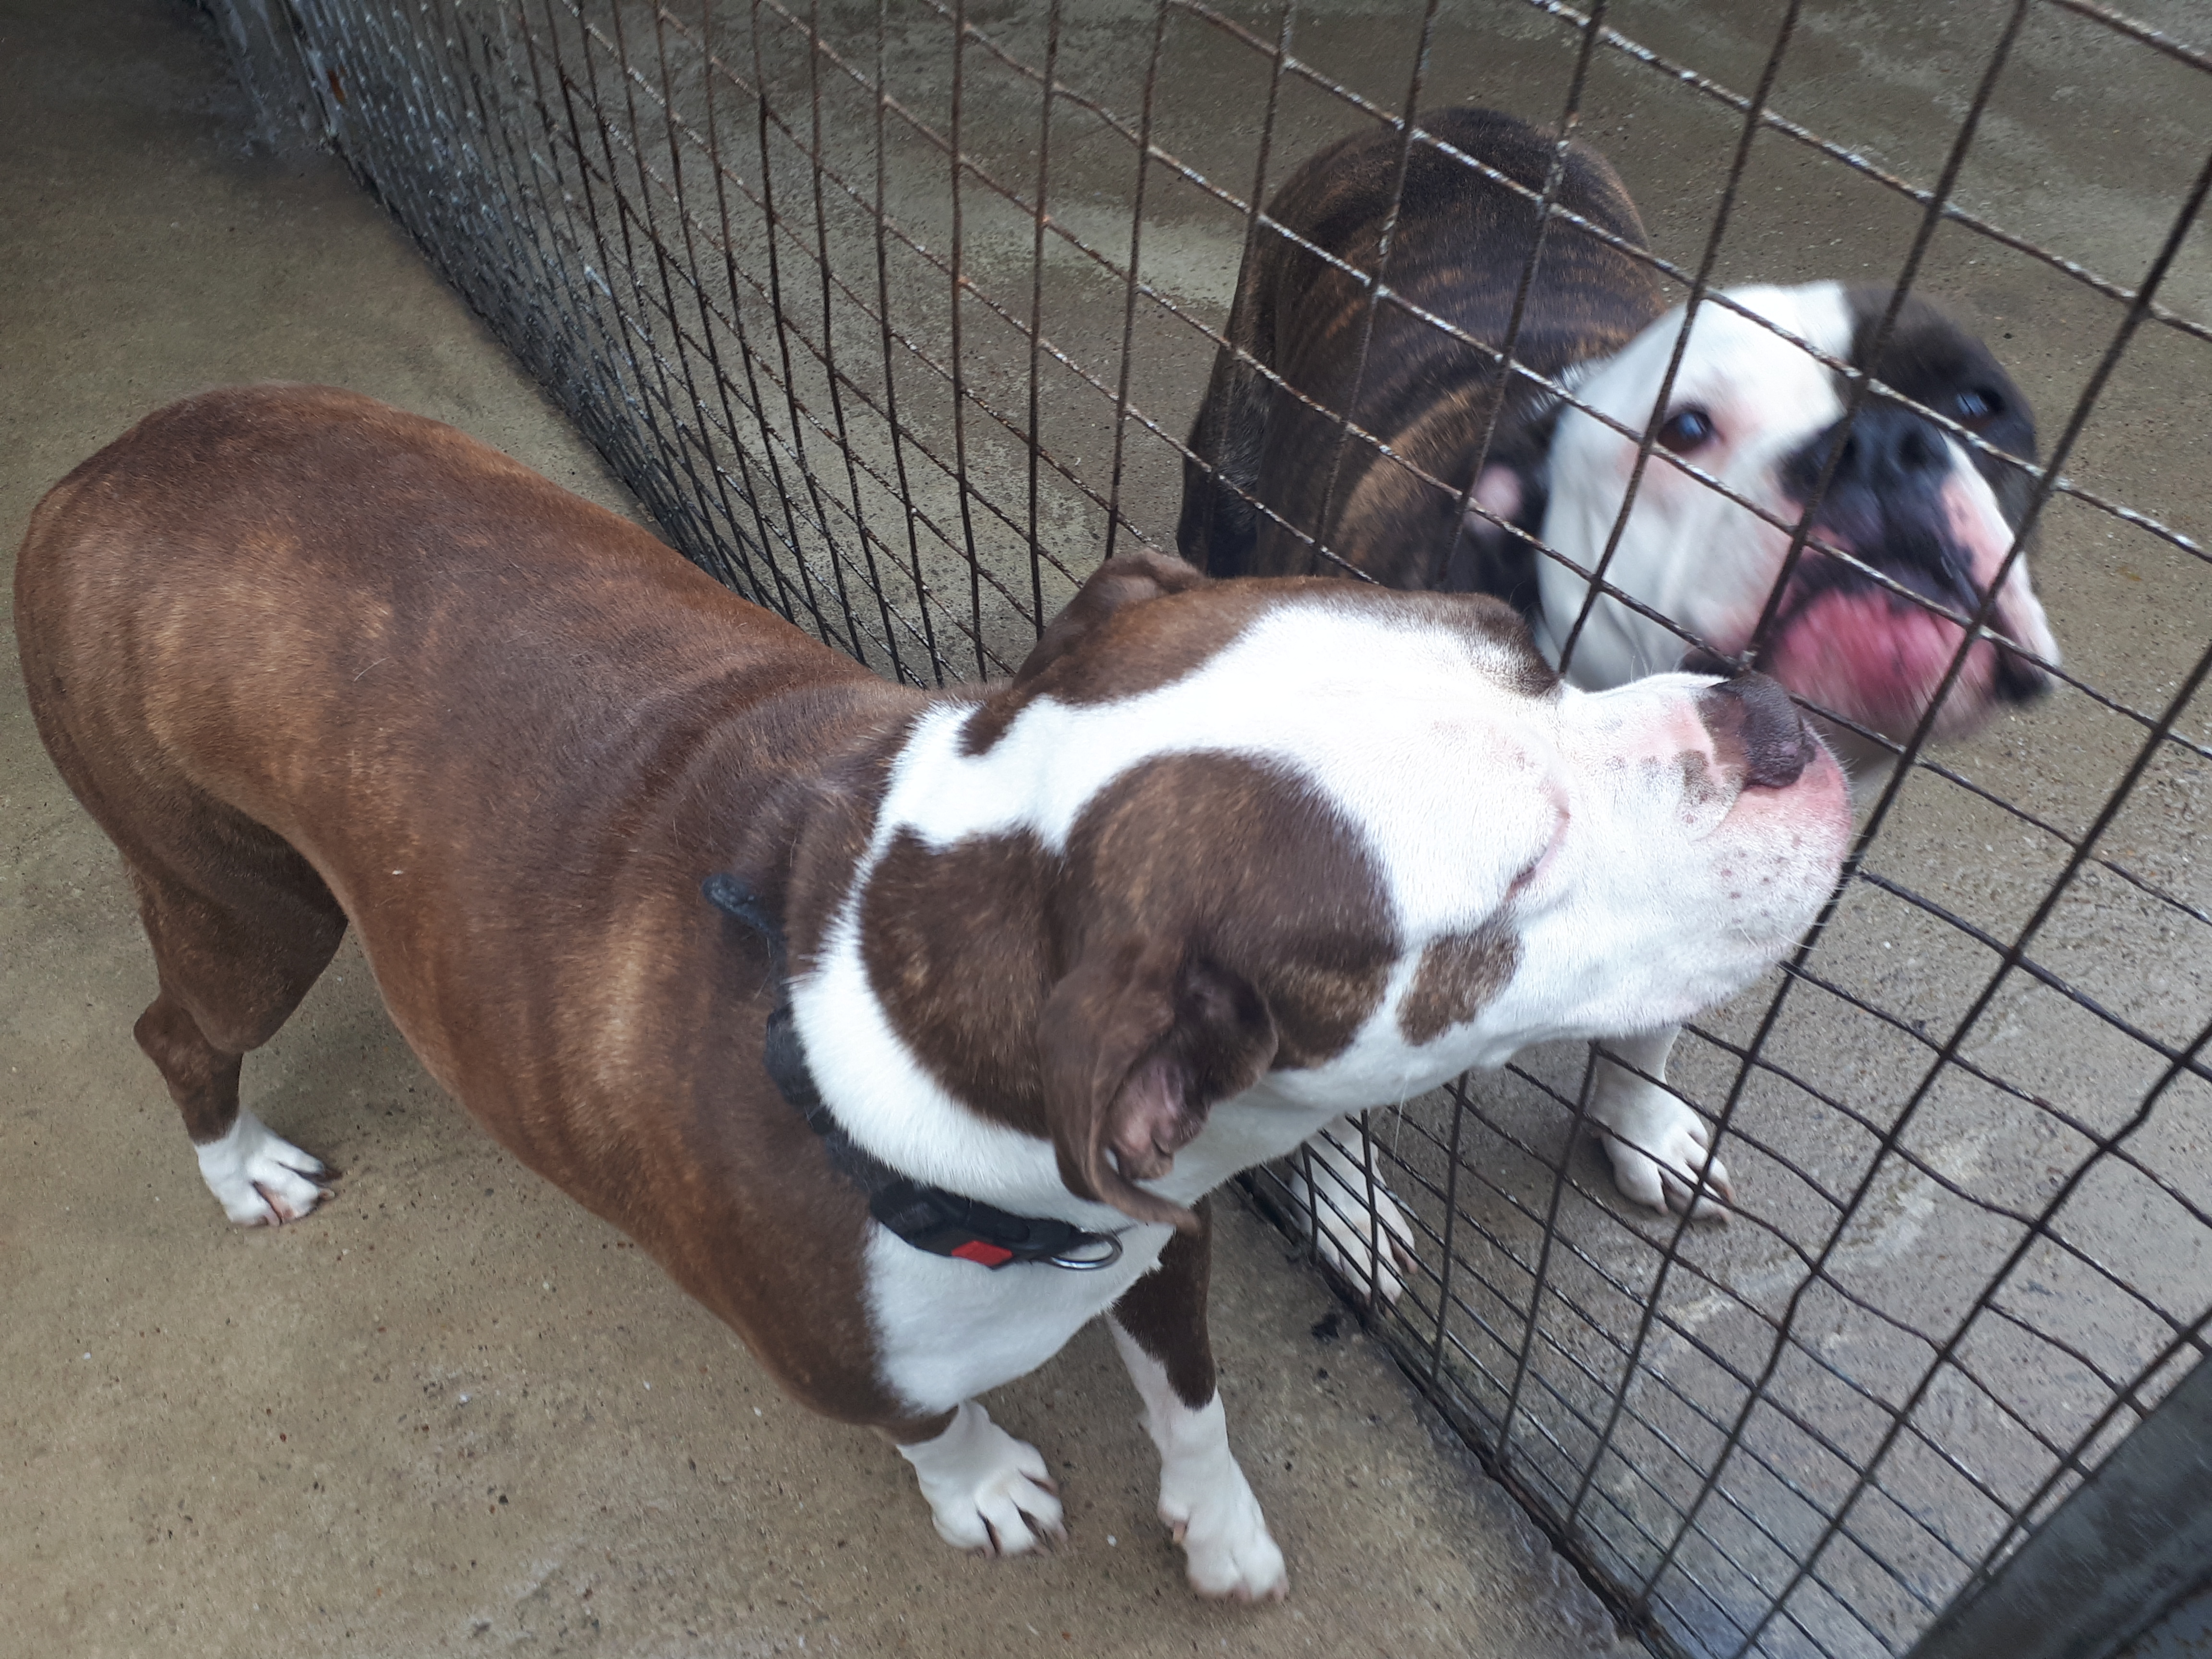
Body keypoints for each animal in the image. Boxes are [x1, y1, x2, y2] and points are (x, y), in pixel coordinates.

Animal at [16, 385, 1849, 1599]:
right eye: (1519, 881)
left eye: (1517, 642)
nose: (1770, 722)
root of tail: (98, 469)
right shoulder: (848, 1361)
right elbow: (932, 1420)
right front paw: (979, 1486)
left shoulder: (1161, 1233)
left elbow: (1194, 1404)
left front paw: (1221, 1528)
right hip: (242, 903)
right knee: (177, 1028)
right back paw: (241, 1164)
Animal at [1180, 107, 2058, 1221]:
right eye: (1684, 427)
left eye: (1982, 406)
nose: (1879, 443)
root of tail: (1460, 116)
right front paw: (1347, 1205)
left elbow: (1651, 1027)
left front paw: (1640, 1132)